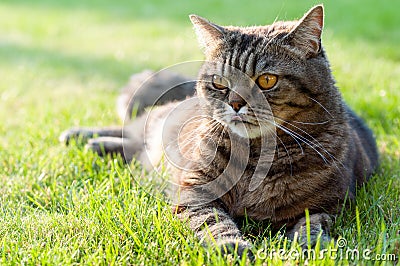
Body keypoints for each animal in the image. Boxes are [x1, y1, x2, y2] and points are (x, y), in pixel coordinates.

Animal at [60, 4, 378, 258]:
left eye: (267, 80)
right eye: (219, 82)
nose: (235, 103)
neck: (256, 158)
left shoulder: (329, 204)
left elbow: (313, 224)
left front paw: (308, 245)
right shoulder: (195, 190)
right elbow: (214, 222)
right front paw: (232, 247)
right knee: (136, 131)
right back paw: (82, 137)